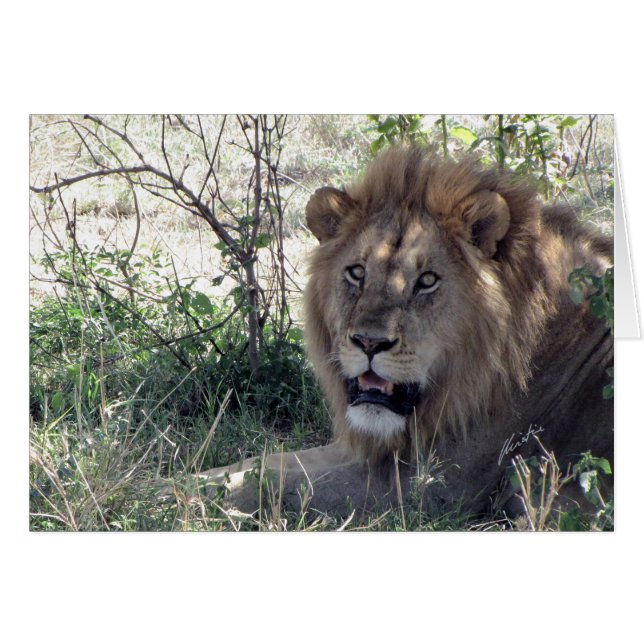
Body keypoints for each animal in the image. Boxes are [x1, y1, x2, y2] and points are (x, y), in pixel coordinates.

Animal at [192, 145, 614, 519]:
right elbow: (264, 461)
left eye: (426, 281)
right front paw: (187, 478)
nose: (369, 342)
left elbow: (279, 483)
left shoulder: (435, 486)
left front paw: (193, 497)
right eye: (357, 273)